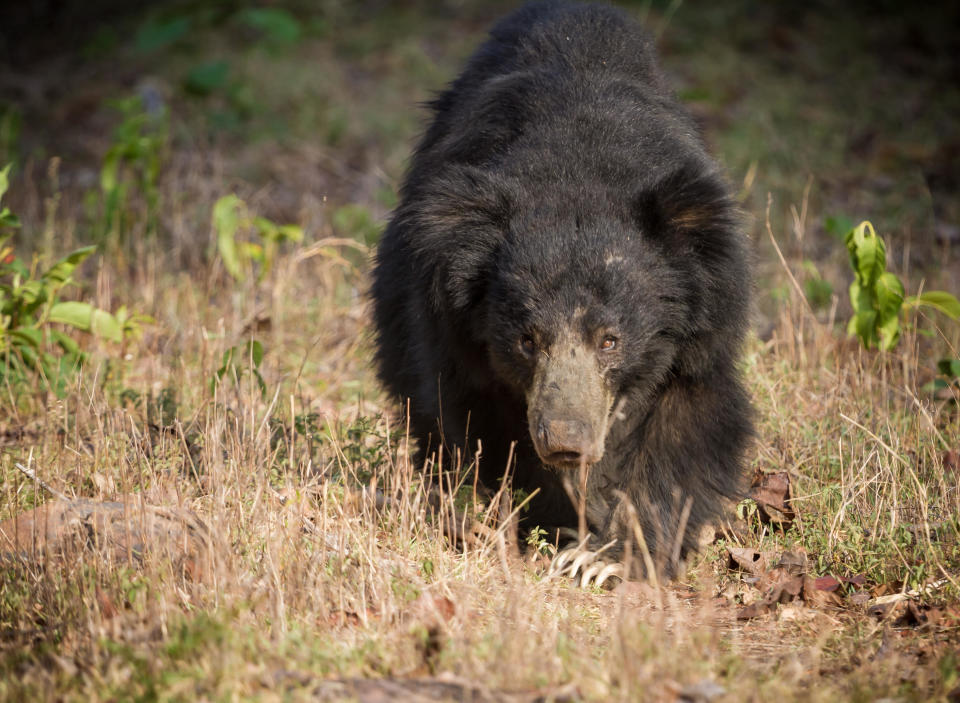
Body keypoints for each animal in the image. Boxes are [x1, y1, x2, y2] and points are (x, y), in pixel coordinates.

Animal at [372, 0, 752, 580]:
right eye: (527, 341)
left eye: (611, 341)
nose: (567, 443)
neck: (579, 172)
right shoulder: (455, 335)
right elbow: (484, 425)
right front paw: (549, 525)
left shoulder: (703, 323)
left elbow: (687, 427)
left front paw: (608, 559)